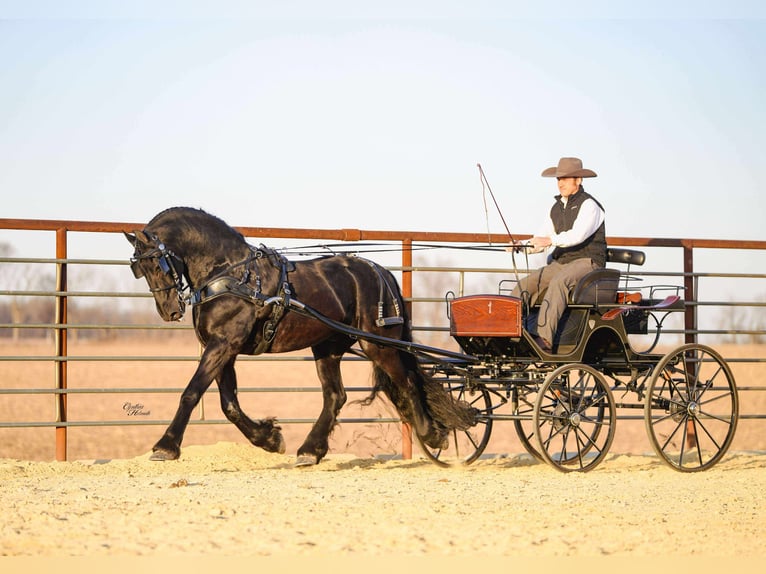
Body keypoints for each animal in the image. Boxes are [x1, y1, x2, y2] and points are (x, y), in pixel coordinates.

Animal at [125, 207, 475, 465]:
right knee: (336, 396)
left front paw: (165, 446)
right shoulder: (224, 348)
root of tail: (381, 272)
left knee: (408, 382)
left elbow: (192, 392)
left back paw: (432, 434)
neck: (231, 274)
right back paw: (310, 450)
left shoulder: (223, 344)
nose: (169, 310)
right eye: (138, 269)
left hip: (377, 344)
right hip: (328, 347)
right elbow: (229, 404)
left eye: (158, 263)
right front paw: (270, 438)